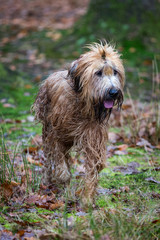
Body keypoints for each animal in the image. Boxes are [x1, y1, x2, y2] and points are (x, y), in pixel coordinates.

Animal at [32, 41, 125, 204]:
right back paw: (47, 181)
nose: (113, 92)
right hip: (47, 129)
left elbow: (93, 168)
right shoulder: (55, 135)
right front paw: (66, 187)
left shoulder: (93, 137)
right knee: (49, 159)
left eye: (115, 72)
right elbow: (61, 166)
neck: (83, 104)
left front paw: (87, 198)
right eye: (98, 72)